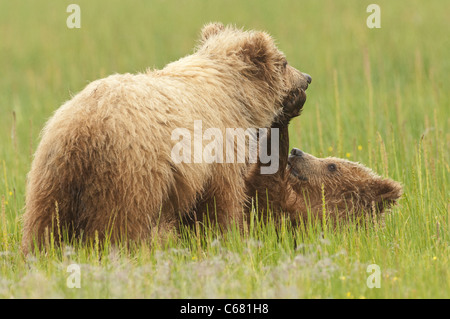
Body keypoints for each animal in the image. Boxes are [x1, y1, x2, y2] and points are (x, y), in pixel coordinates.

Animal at [22, 22, 312, 252]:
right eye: (284, 62)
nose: (307, 77)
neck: (236, 95)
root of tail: (83, 129)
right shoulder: (219, 147)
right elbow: (220, 202)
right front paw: (226, 235)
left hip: (51, 175)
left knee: (45, 226)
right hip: (130, 174)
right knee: (122, 224)